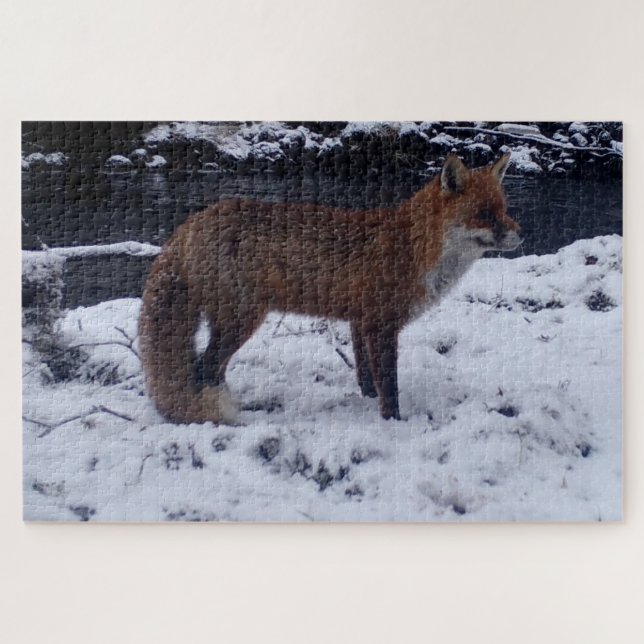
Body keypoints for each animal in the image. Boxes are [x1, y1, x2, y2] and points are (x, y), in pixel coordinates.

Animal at [138, 153, 521, 424]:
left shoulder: (360, 321)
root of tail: (189, 225)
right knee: (203, 369)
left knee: (210, 371)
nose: (521, 235)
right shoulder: (381, 325)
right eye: (484, 214)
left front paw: (368, 402)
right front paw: (394, 422)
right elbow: (390, 386)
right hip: (241, 322)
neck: (414, 249)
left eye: (504, 209)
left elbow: (366, 376)